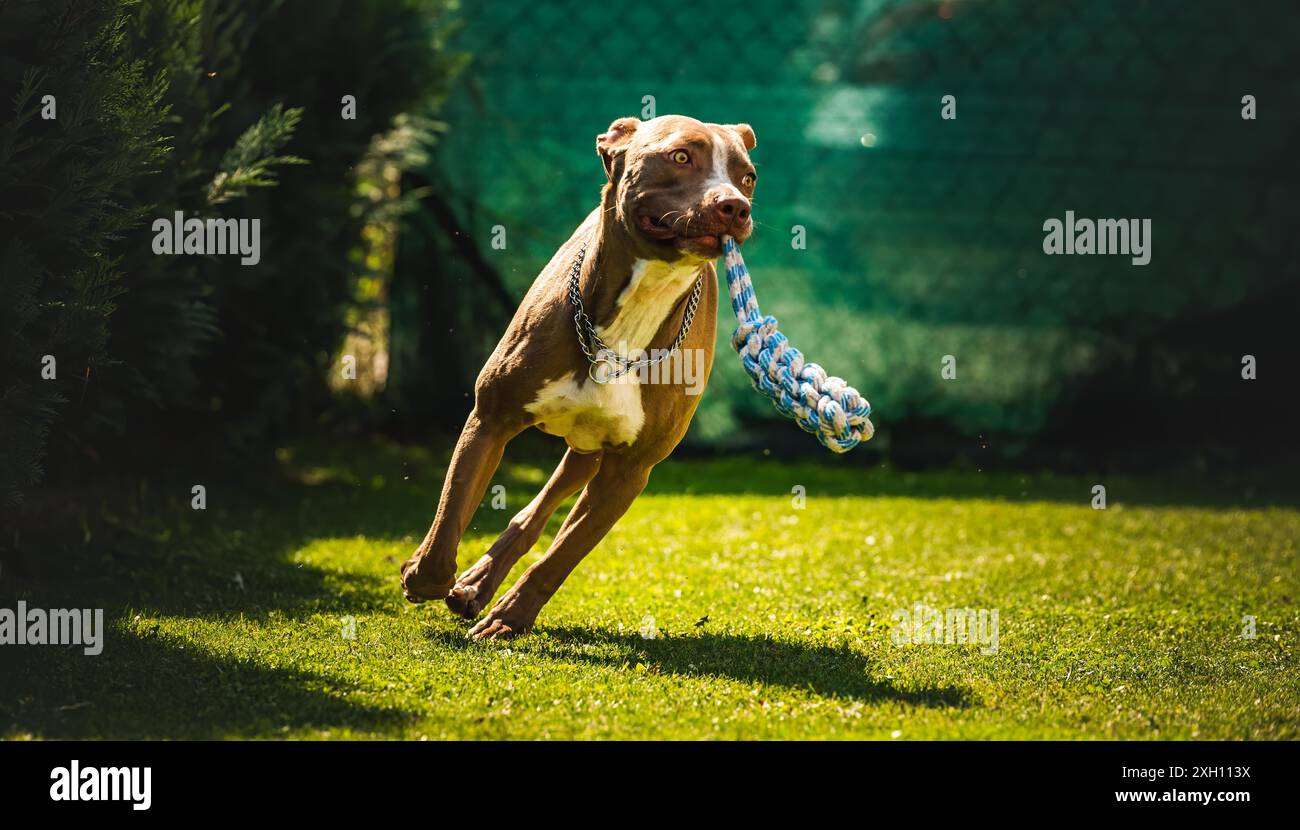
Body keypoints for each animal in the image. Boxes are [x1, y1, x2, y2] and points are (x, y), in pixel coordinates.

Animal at [400, 113, 759, 640]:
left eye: (747, 176)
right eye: (680, 156)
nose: (735, 205)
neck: (640, 302)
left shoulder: (628, 471)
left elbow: (562, 555)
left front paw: (509, 618)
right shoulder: (490, 417)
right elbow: (451, 509)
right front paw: (424, 574)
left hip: (591, 452)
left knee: (540, 511)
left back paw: (482, 586)